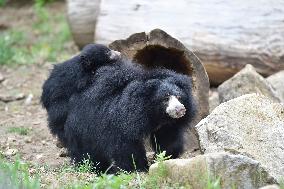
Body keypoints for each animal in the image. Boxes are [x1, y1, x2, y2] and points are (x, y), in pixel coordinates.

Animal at [61, 58, 195, 173]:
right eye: (165, 99)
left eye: (179, 97)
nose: (180, 109)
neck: (154, 114)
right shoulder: (122, 124)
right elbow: (126, 148)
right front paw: (139, 168)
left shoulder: (166, 126)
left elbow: (167, 140)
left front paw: (164, 158)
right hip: (83, 128)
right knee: (87, 152)